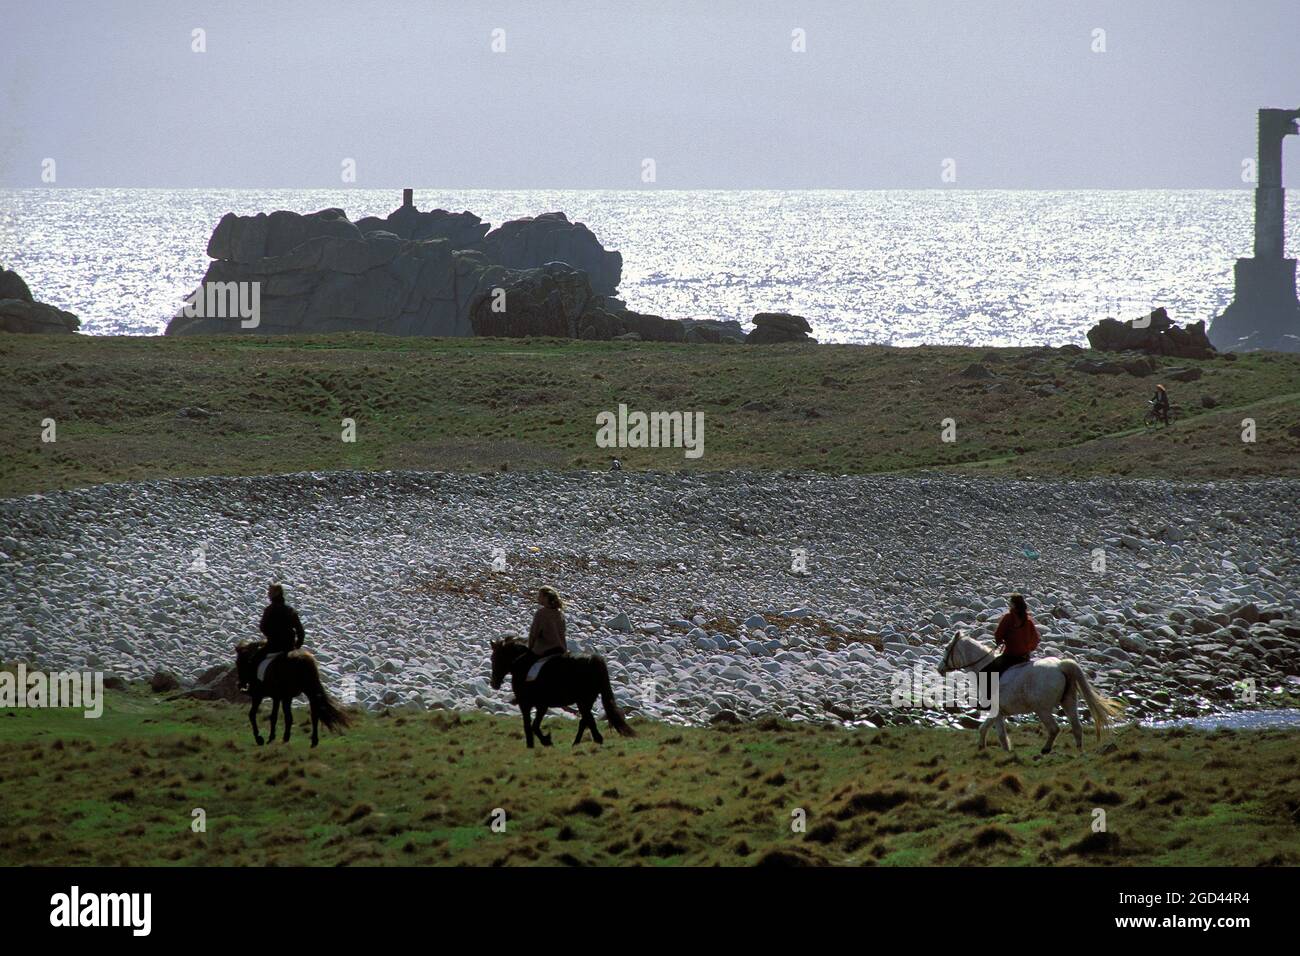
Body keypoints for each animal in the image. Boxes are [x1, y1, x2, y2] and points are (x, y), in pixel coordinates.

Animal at [488, 639, 637, 749]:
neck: (522, 665)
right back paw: (578, 743)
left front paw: (544, 742)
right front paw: (536, 743)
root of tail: (593, 660)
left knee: (587, 719)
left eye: (495, 658)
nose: (494, 683)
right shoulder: (536, 705)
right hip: (587, 700)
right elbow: (531, 725)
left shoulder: (532, 704)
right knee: (585, 720)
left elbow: (532, 726)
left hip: (583, 700)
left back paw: (595, 740)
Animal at [941, 634, 1123, 754]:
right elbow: (988, 729)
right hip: (1069, 702)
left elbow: (995, 732)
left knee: (1054, 729)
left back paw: (1045, 749)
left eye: (947, 648)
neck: (983, 668)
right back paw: (1078, 752)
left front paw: (999, 751)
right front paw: (989, 748)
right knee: (1077, 727)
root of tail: (1060, 666)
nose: (939, 668)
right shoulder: (999, 712)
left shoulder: (996, 711)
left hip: (1042, 709)